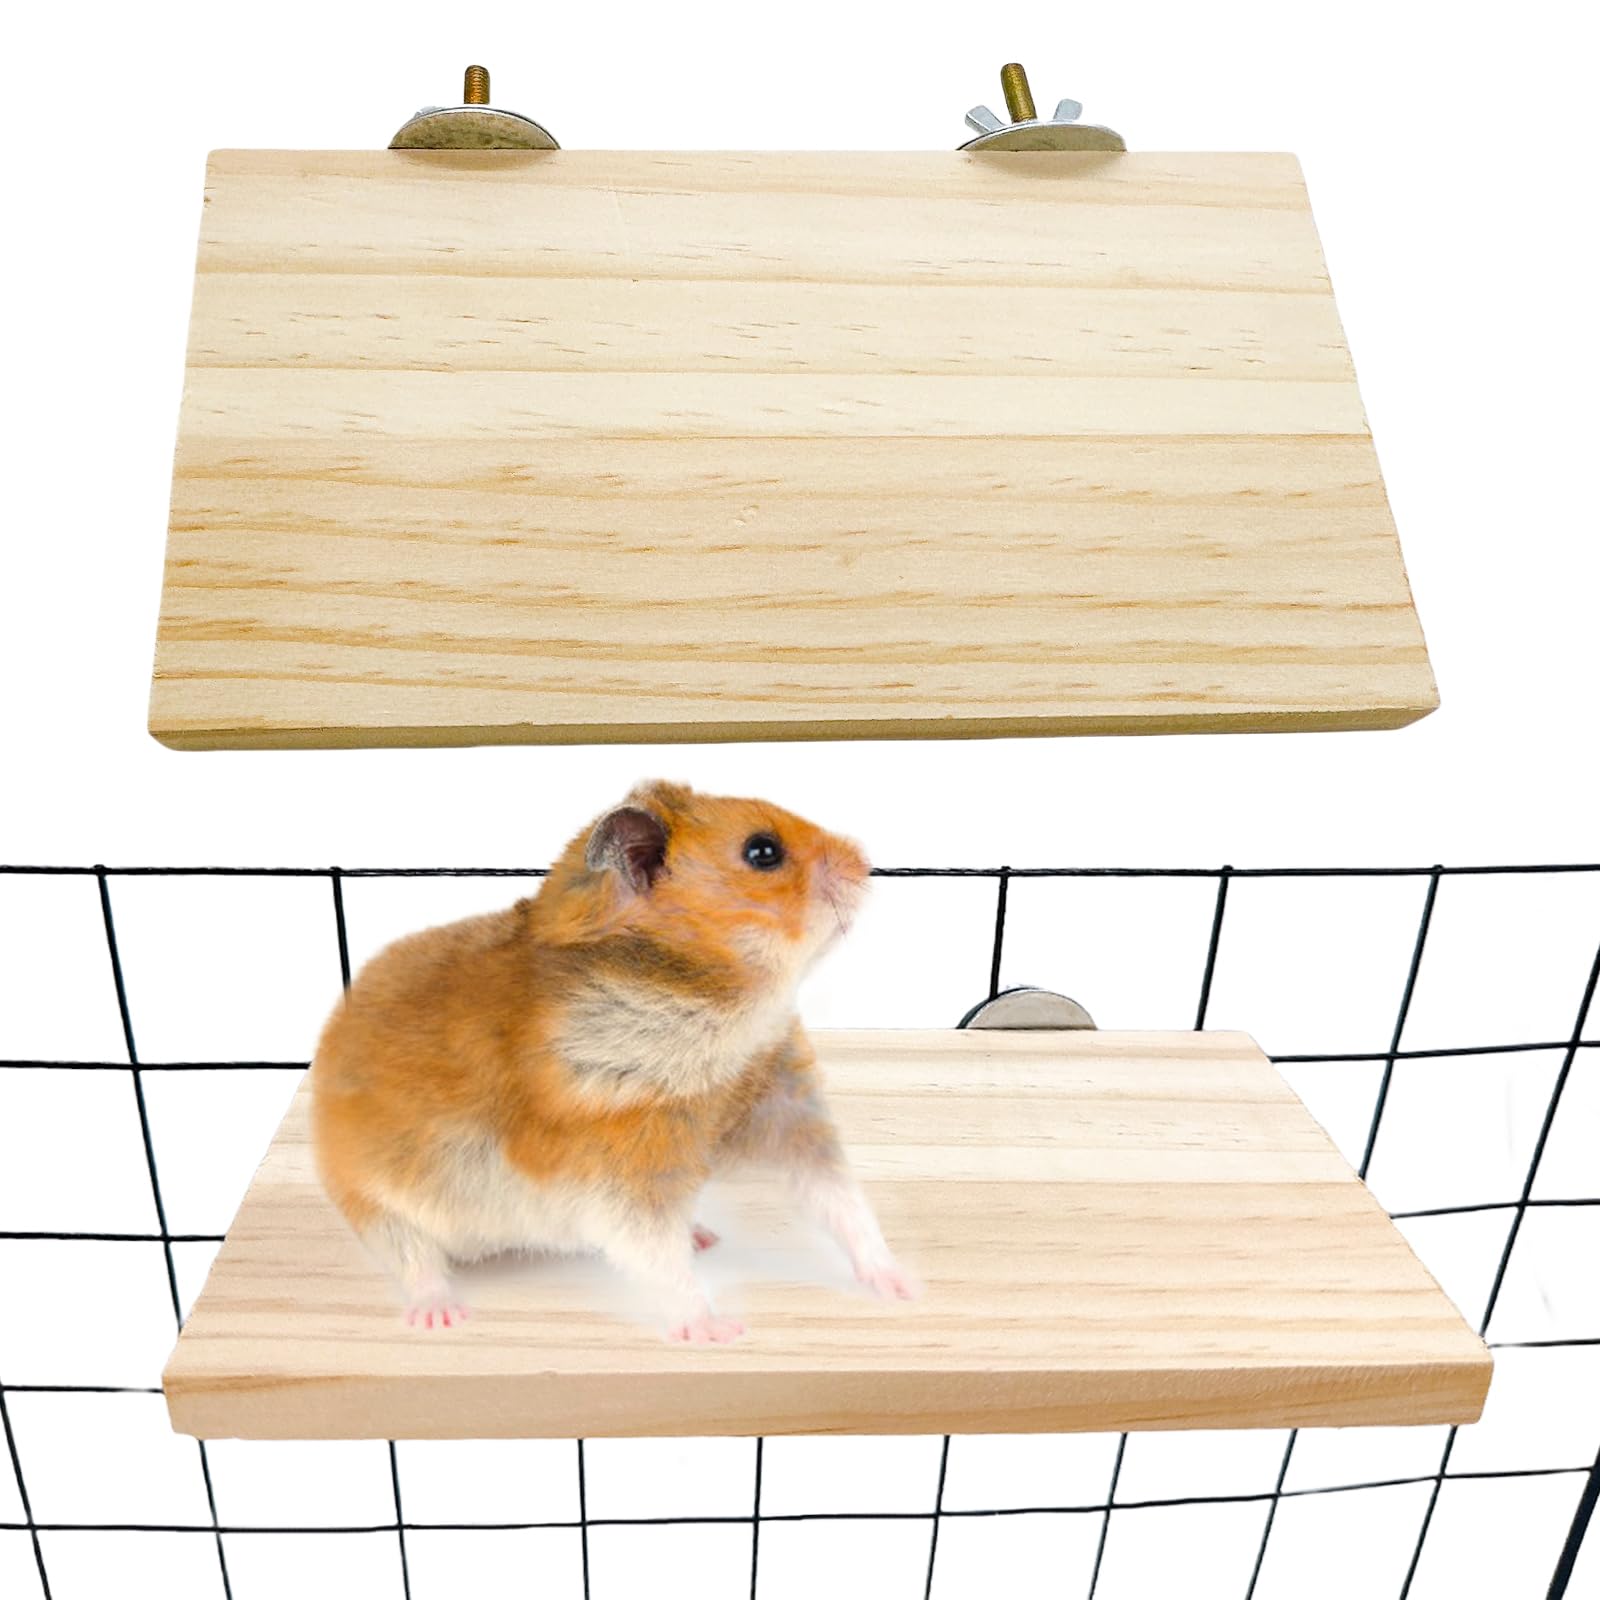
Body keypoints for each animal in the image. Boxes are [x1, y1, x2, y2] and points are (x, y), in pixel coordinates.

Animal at [310, 780, 916, 1343]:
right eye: (762, 851)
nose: (866, 861)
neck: (721, 1013)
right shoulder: (621, 1170)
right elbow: (656, 1256)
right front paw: (716, 1330)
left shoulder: (785, 1109)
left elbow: (843, 1202)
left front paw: (904, 1286)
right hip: (375, 1203)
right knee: (414, 1259)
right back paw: (441, 1315)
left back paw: (703, 1235)